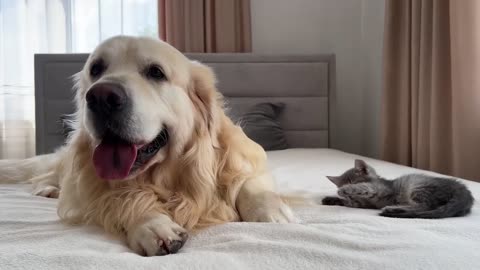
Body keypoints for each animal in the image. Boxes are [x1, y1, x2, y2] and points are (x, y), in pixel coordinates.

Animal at [320, 159, 474, 218]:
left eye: (353, 182)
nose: (347, 194)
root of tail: (463, 190)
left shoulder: (380, 189)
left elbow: (365, 187)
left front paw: (344, 191)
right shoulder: (360, 204)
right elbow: (349, 202)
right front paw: (331, 199)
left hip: (418, 187)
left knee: (424, 207)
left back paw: (392, 208)